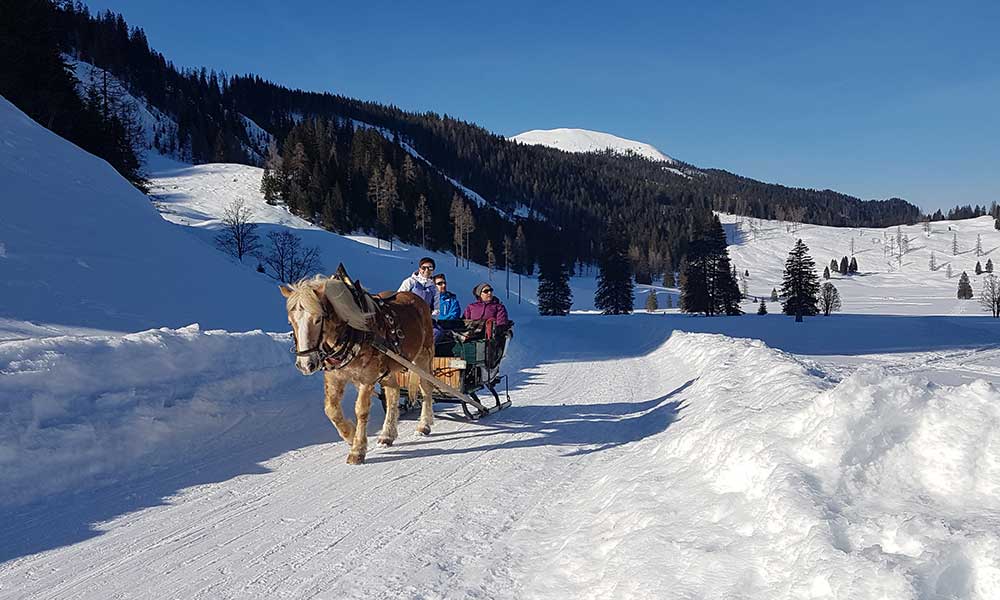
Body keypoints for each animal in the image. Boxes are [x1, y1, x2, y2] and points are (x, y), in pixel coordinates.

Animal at [282, 272, 438, 464]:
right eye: (291, 322)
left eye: (318, 319)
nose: (305, 364)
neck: (351, 333)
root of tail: (417, 299)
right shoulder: (335, 377)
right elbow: (331, 410)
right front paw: (350, 435)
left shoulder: (367, 378)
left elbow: (361, 410)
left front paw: (357, 450)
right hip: (388, 369)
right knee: (392, 394)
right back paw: (387, 434)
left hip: (423, 357)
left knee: (426, 388)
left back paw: (424, 425)